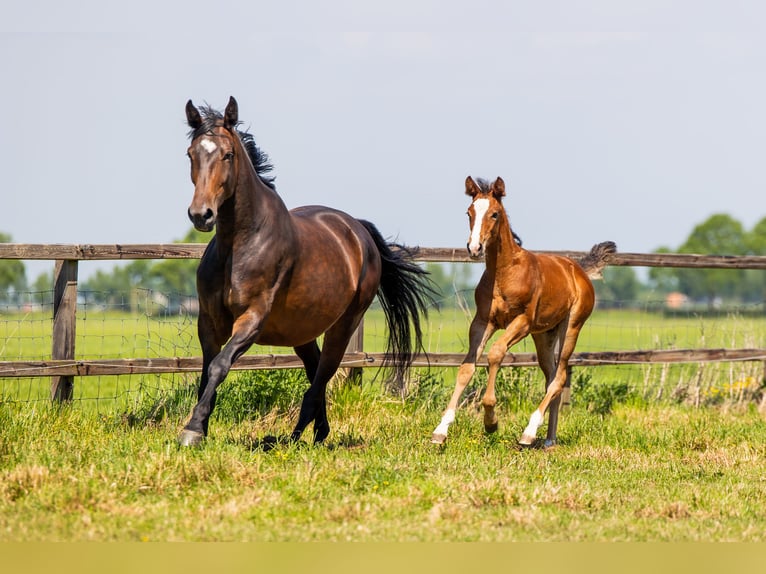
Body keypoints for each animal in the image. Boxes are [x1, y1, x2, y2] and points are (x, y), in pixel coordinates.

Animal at [178, 97, 437, 447]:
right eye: (191, 154)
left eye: (228, 154)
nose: (201, 215)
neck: (239, 244)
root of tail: (359, 231)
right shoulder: (208, 321)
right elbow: (206, 373)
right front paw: (199, 427)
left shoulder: (253, 319)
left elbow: (219, 366)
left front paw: (192, 430)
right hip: (302, 330)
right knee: (316, 372)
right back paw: (318, 431)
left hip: (344, 324)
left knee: (322, 376)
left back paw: (294, 437)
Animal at [431, 176, 615, 448]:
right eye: (469, 212)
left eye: (495, 214)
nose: (474, 248)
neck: (504, 273)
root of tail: (579, 270)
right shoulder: (482, 322)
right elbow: (466, 368)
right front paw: (441, 430)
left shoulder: (522, 322)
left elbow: (496, 353)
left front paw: (491, 421)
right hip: (544, 335)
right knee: (552, 377)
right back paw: (548, 439)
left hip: (571, 327)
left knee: (560, 377)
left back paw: (529, 433)